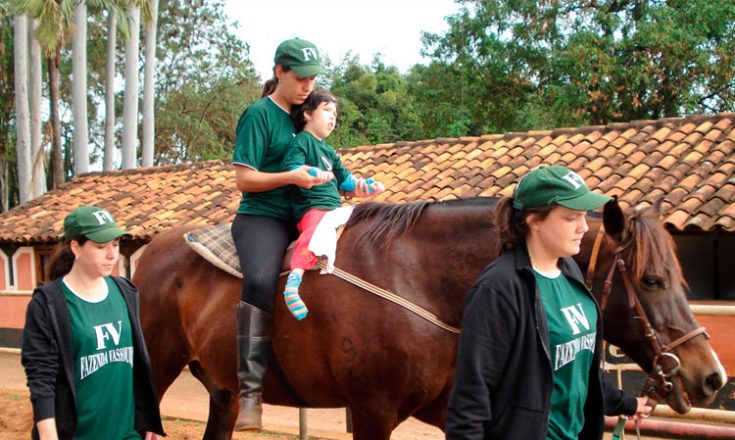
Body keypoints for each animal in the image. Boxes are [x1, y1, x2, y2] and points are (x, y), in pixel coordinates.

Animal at [135, 198, 728, 438]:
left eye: (683, 281)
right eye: (652, 281)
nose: (711, 376)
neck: (421, 280)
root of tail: (148, 255)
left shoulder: (447, 407)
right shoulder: (371, 412)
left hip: (224, 393)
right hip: (158, 371)